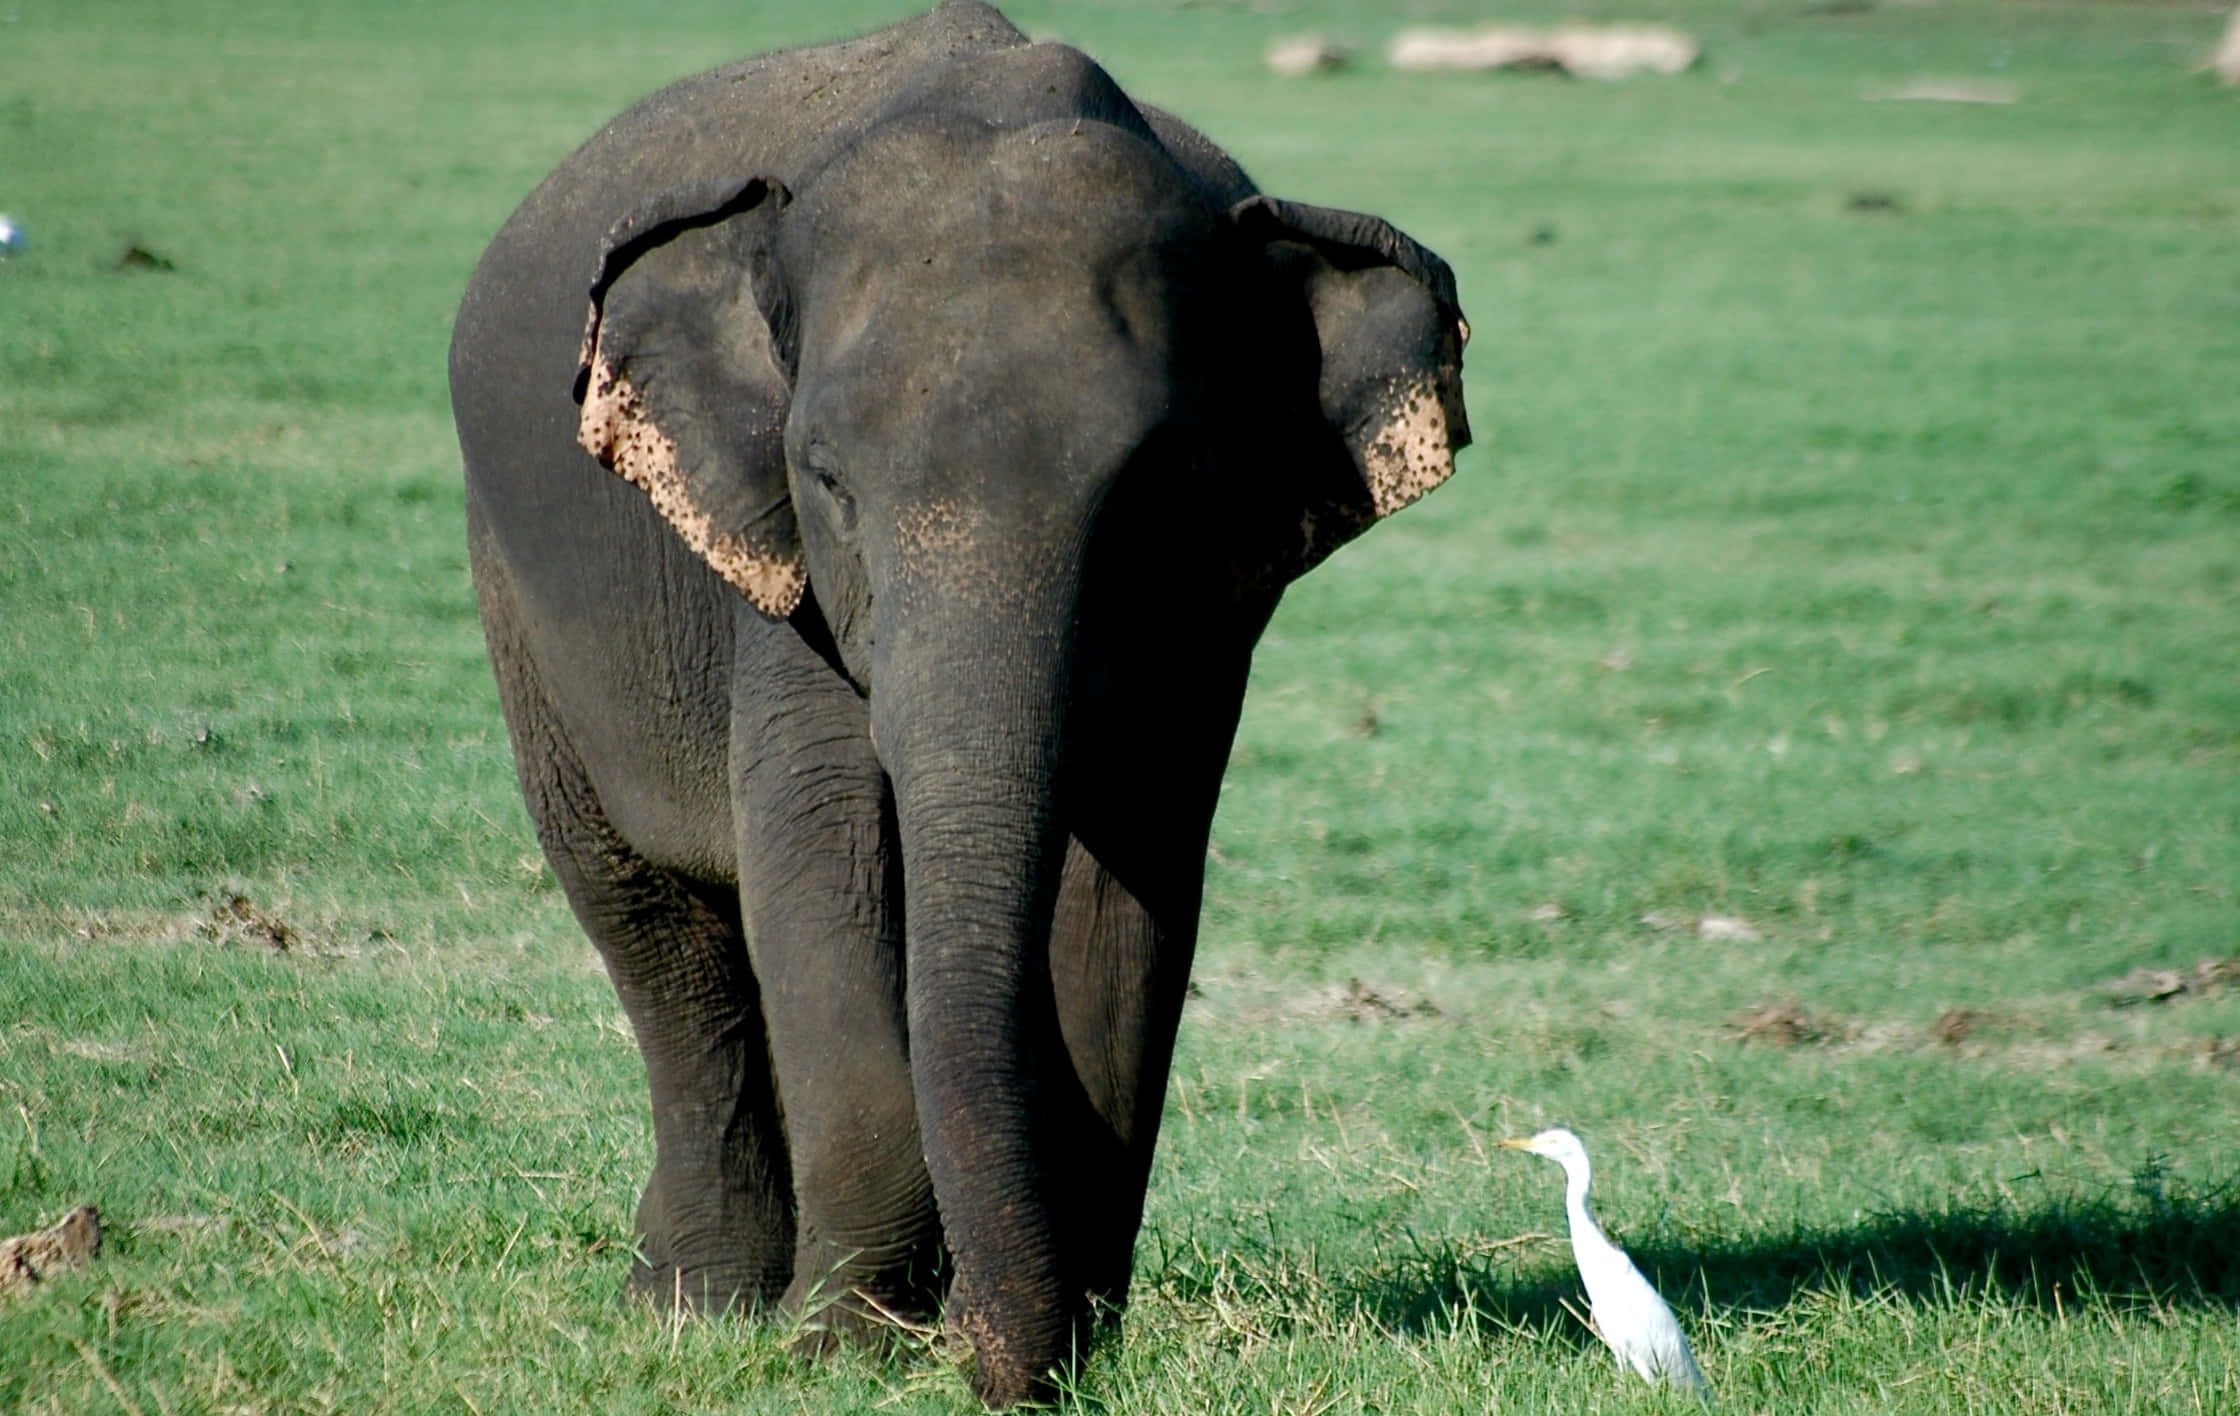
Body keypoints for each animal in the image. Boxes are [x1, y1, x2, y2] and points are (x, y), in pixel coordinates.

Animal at [447, 1, 1469, 1404]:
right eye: (828, 478)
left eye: (1153, 491)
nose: (980, 1359)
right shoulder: (787, 589)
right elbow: (823, 871)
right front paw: (844, 1349)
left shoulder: (1206, 621)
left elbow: (1124, 907)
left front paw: (1060, 1349)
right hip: (518, 600)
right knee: (650, 922)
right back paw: (696, 1307)